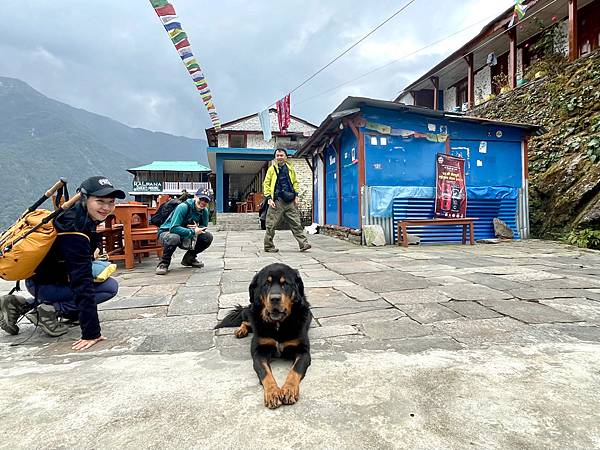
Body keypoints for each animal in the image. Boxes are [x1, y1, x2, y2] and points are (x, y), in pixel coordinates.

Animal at [216, 262, 312, 410]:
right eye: (266, 284)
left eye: (285, 283)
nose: (275, 298)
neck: (278, 325)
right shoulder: (259, 352)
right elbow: (265, 373)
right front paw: (273, 393)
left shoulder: (303, 351)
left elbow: (295, 370)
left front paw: (288, 389)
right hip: (251, 310)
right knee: (246, 320)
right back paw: (241, 330)